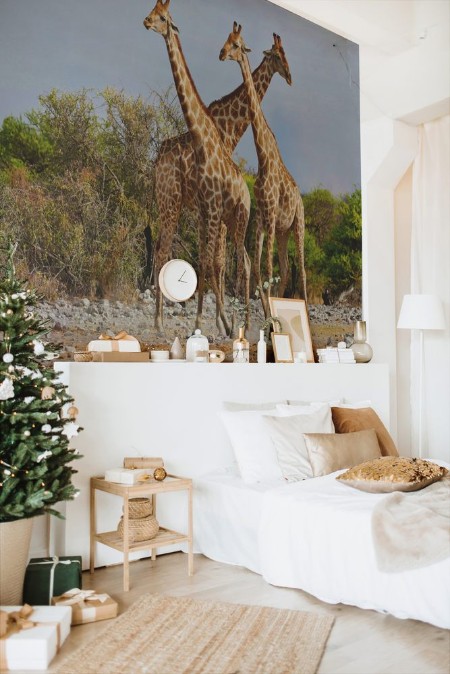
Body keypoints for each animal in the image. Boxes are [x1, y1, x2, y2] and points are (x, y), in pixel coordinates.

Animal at [153, 34, 292, 334]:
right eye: (278, 56)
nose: (290, 76)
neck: (229, 128)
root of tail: (157, 160)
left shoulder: (214, 206)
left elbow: (217, 260)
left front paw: (222, 320)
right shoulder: (217, 204)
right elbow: (218, 261)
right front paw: (222, 322)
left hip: (163, 202)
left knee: (161, 249)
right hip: (171, 201)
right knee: (164, 251)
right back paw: (158, 321)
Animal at [220, 26, 308, 318]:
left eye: (236, 44)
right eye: (278, 55)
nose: (290, 77)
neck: (264, 158)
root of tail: (302, 200)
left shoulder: (269, 216)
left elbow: (267, 269)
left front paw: (271, 316)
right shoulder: (261, 218)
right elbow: (260, 269)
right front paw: (269, 315)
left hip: (298, 225)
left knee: (302, 270)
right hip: (282, 232)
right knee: (286, 268)